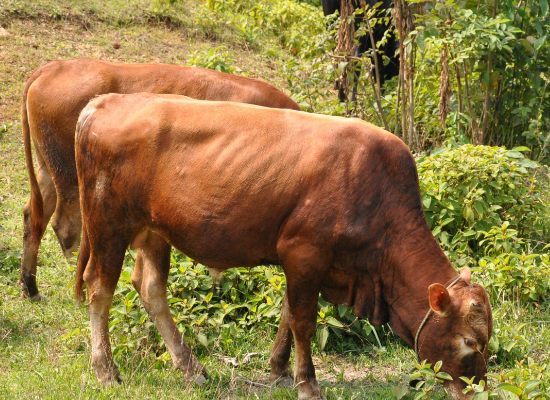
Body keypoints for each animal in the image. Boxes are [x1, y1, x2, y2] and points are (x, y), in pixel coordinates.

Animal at [19, 57, 302, 298]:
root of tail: (51, 67)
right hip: (70, 178)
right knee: (67, 226)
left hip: (47, 169)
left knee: (34, 214)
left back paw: (30, 286)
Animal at [75, 94, 494, 400]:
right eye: (470, 342)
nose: (477, 392)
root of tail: (106, 101)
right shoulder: (305, 252)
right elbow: (303, 321)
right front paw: (307, 383)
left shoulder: (306, 262)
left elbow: (288, 314)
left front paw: (278, 370)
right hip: (107, 224)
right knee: (100, 288)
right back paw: (106, 370)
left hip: (154, 233)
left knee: (151, 289)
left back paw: (191, 368)